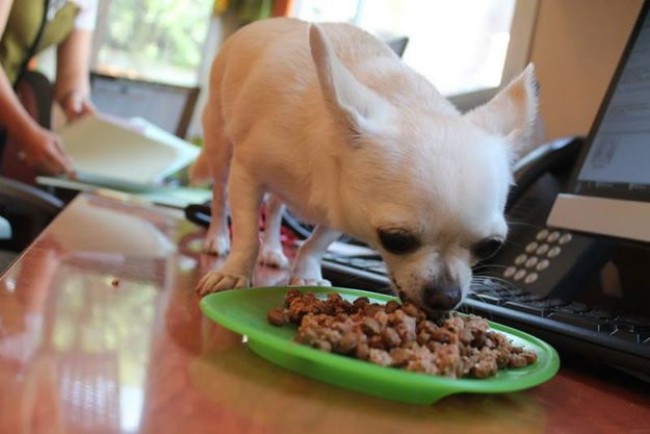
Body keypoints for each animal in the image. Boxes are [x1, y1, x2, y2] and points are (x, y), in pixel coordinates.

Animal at [190, 17, 536, 312]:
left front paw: (306, 273)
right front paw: (235, 273)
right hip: (221, 150)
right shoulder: (247, 175)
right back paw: (217, 239)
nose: (446, 295)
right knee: (221, 197)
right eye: (396, 240)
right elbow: (247, 233)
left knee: (275, 209)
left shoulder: (341, 204)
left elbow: (317, 242)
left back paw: (274, 250)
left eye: (489, 247)